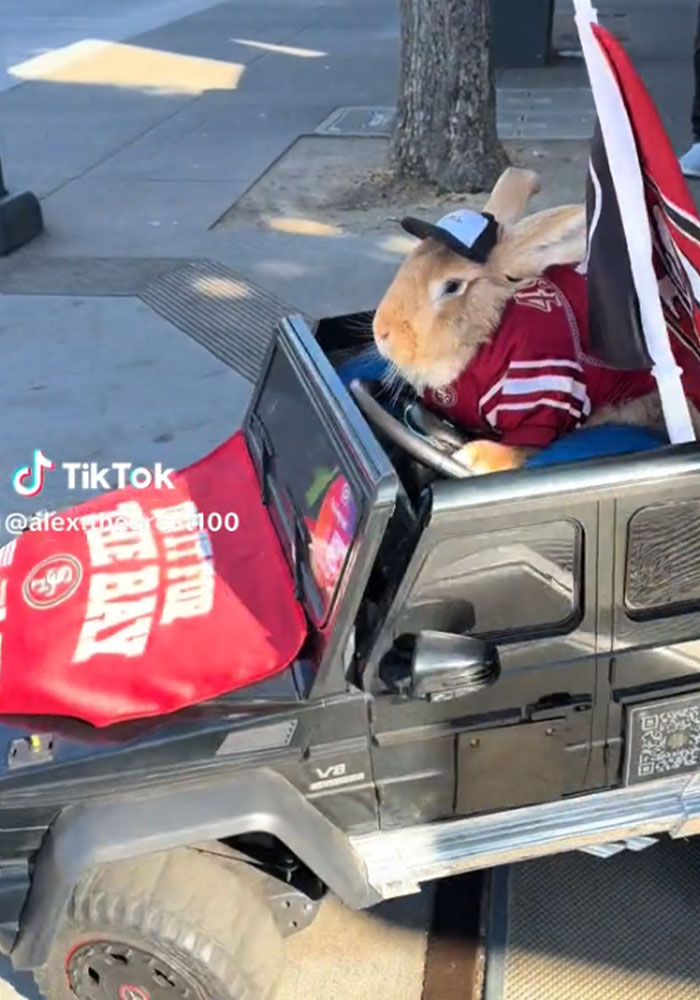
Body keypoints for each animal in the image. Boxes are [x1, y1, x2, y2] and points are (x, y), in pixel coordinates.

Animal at [374, 166, 700, 474]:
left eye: (452, 286)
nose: (381, 333)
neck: (483, 343)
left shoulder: (541, 397)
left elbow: (519, 447)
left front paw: (472, 457)